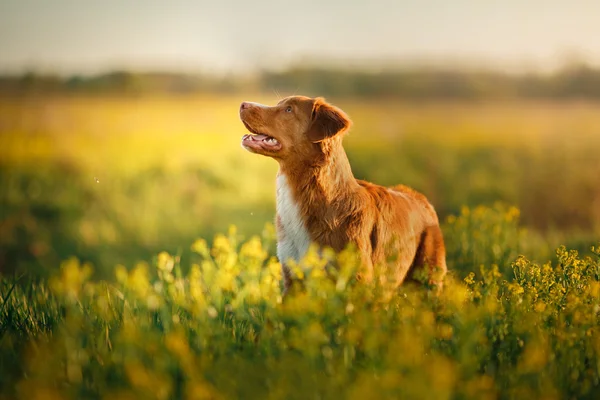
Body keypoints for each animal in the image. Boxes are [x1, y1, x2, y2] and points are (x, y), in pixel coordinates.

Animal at [239, 95, 446, 292]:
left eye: (289, 109)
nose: (242, 104)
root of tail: (423, 200)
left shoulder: (357, 279)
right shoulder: (293, 276)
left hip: (428, 277)